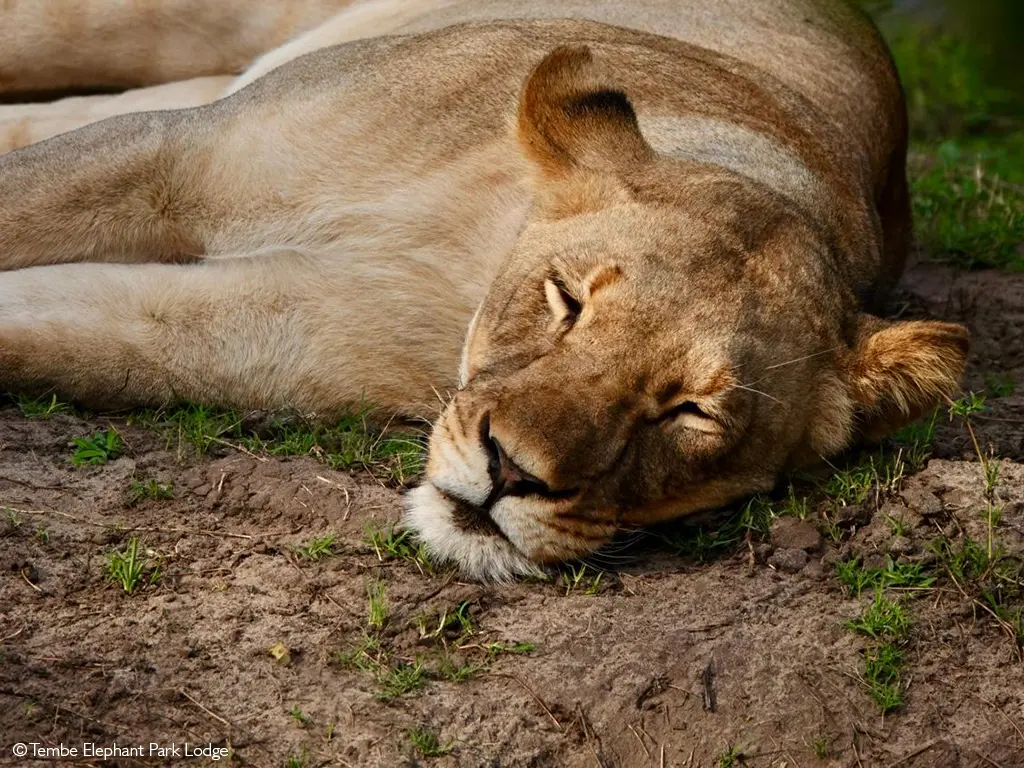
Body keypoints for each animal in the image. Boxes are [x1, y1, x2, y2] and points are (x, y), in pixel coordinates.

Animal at [0, 0, 968, 580]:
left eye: (690, 412)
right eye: (566, 299)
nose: (511, 474)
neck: (478, 247)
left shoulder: (249, 325)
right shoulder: (182, 158)